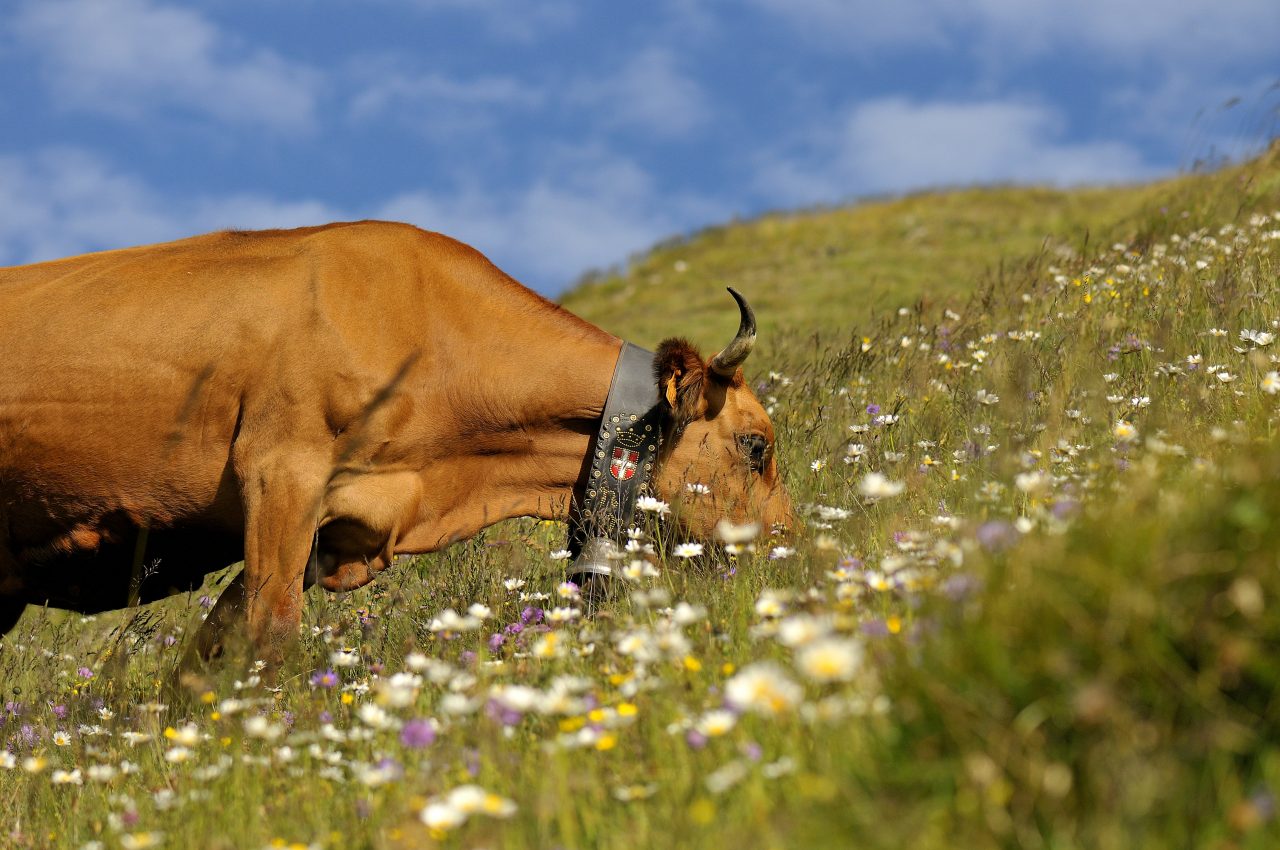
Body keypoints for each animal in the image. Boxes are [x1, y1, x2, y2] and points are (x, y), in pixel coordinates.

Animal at [0, 222, 788, 665]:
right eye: (756, 445)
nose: (791, 552)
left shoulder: (334, 529)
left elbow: (207, 658)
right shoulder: (280, 477)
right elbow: (267, 635)